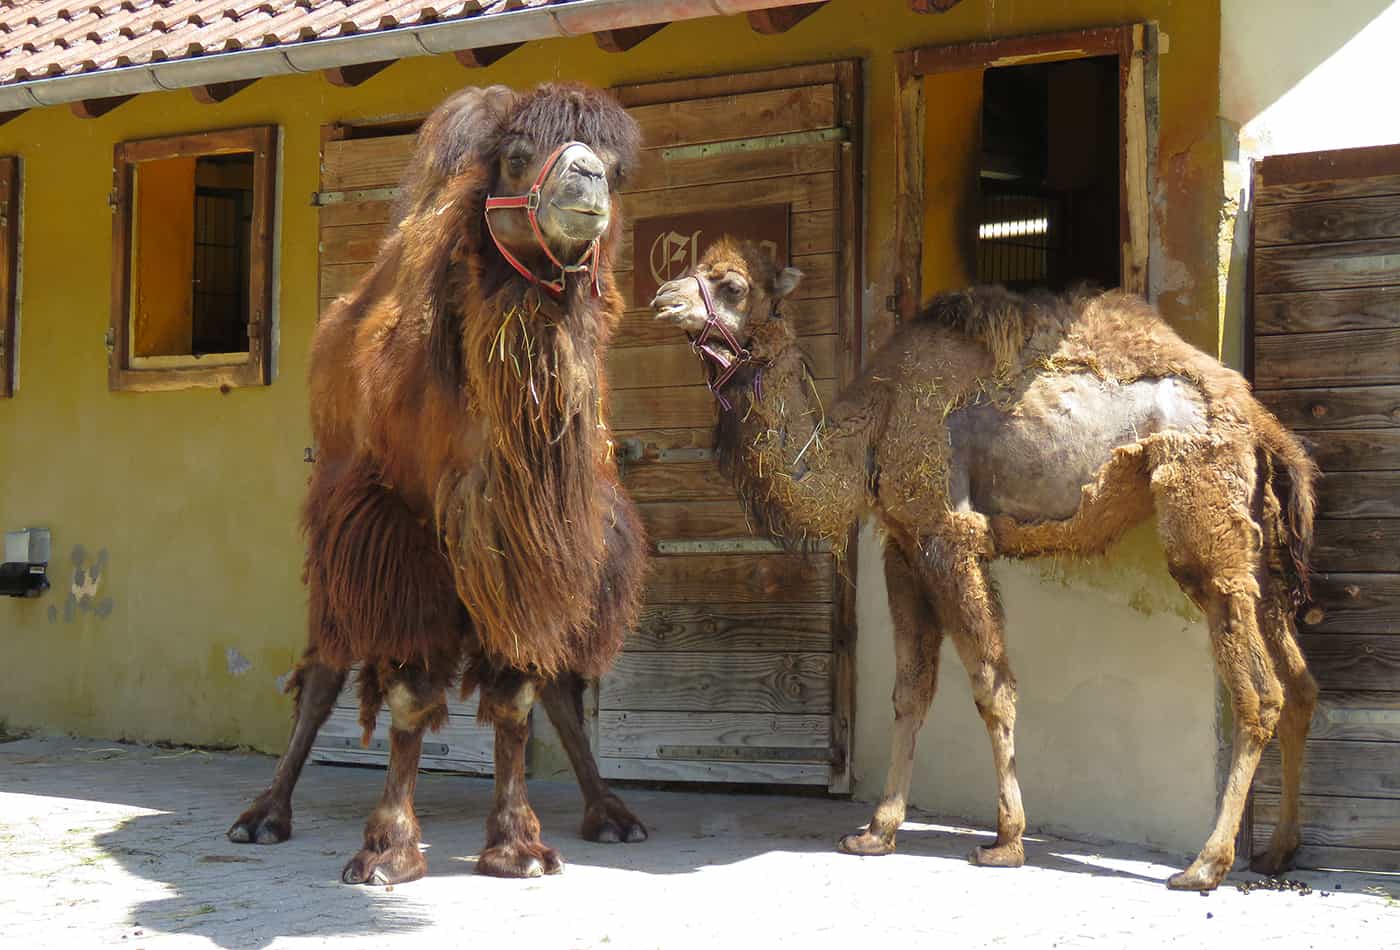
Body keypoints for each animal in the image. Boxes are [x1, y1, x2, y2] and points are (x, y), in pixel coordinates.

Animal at [229, 85, 649, 889]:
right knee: (322, 670)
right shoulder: (399, 534)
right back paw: (262, 814)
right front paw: (388, 849)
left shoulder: (532, 542)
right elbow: (409, 692)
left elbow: (519, 692)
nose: (587, 182)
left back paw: (612, 812)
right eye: (517, 155)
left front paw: (518, 845)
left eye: (615, 166)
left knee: (559, 683)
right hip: (340, 534)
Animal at [649, 239, 1316, 889]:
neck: (872, 429)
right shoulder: (902, 547)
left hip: (1202, 507)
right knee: (1300, 683)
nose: (662, 298)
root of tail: (1257, 418)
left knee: (1258, 689)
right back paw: (1278, 852)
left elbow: (992, 687)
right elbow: (910, 691)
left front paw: (1006, 841)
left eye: (733, 285)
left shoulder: (949, 535)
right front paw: (876, 832)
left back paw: (1204, 864)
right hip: (1261, 544)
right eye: (693, 266)